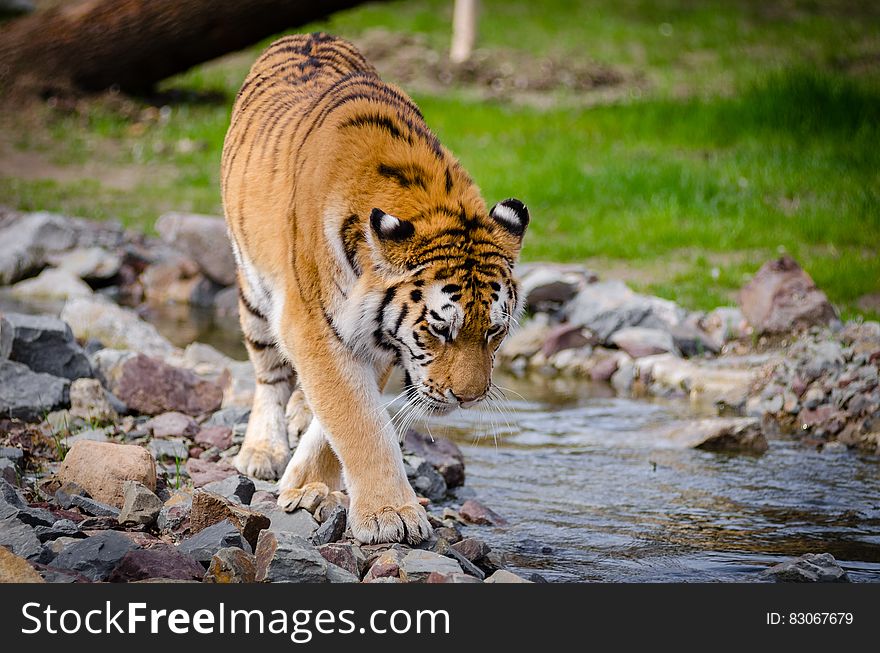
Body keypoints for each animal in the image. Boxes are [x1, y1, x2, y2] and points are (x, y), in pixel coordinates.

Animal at [222, 34, 528, 544]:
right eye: (439, 331)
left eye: (495, 332)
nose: (468, 399)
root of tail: (307, 35)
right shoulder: (312, 323)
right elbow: (359, 419)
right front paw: (390, 515)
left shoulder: (378, 337)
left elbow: (341, 417)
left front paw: (308, 485)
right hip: (254, 290)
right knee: (268, 374)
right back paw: (262, 450)